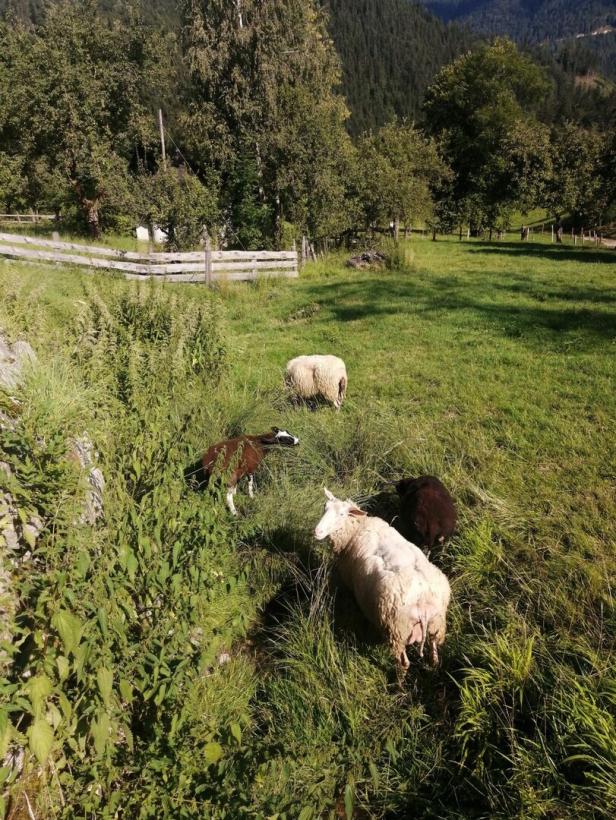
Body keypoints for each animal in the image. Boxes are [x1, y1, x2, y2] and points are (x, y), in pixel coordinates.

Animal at [316, 486, 450, 668]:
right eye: (324, 508)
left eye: (342, 514)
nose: (317, 531)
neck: (357, 528)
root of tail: (422, 602)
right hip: (436, 624)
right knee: (434, 651)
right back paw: (433, 665)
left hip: (397, 630)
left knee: (403, 663)